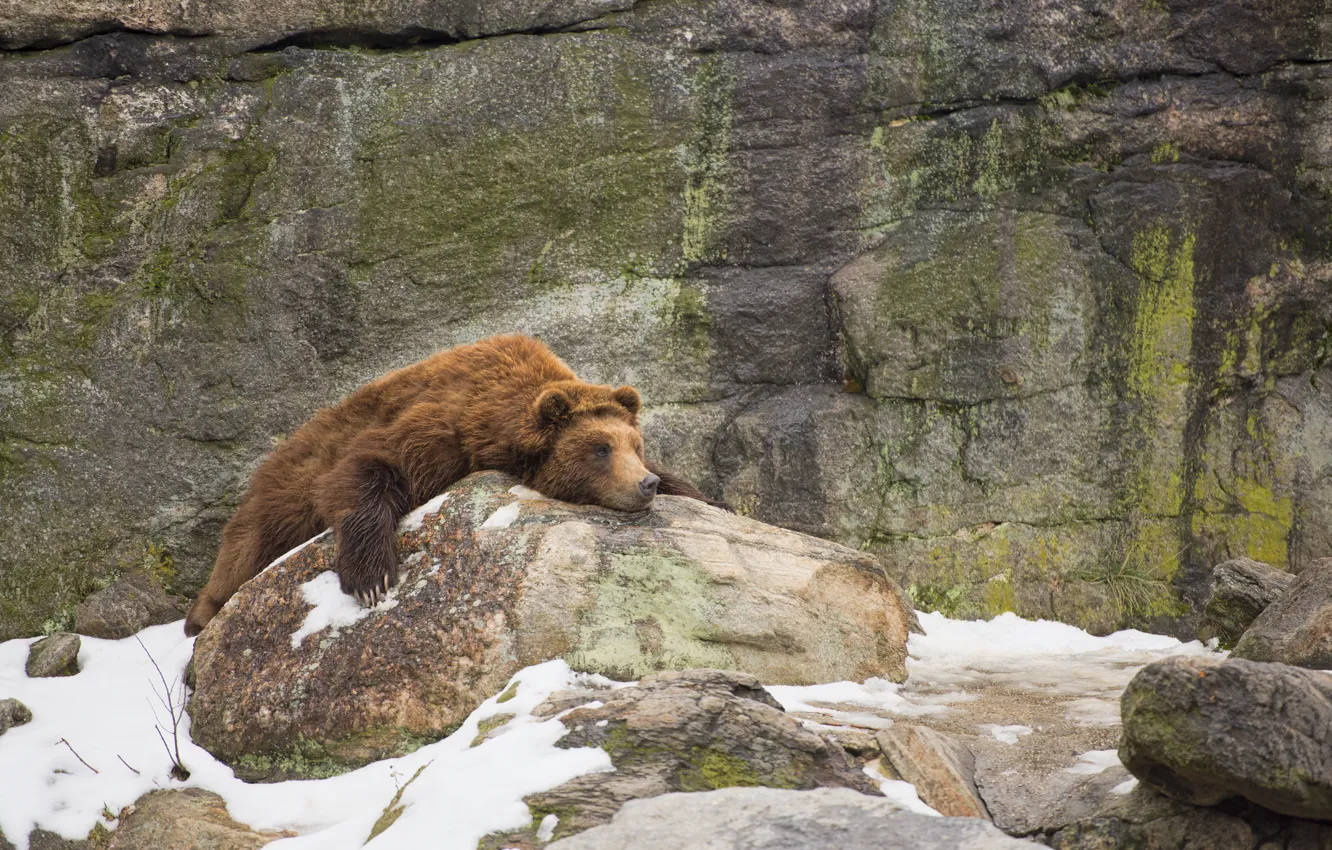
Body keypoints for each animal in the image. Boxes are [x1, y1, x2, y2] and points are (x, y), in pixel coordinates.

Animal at [183, 334, 726, 636]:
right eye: (599, 449)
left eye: (634, 444)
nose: (645, 484)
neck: (494, 423)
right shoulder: (435, 430)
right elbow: (365, 471)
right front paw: (373, 577)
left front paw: (704, 498)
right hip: (279, 497)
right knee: (245, 549)